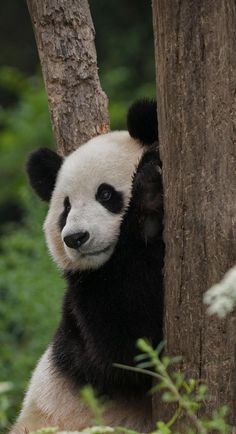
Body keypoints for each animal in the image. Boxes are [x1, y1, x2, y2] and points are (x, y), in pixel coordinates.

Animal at [9, 99, 164, 434]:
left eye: (105, 194)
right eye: (65, 208)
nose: (75, 238)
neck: (107, 264)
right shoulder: (82, 313)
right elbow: (129, 349)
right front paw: (148, 207)